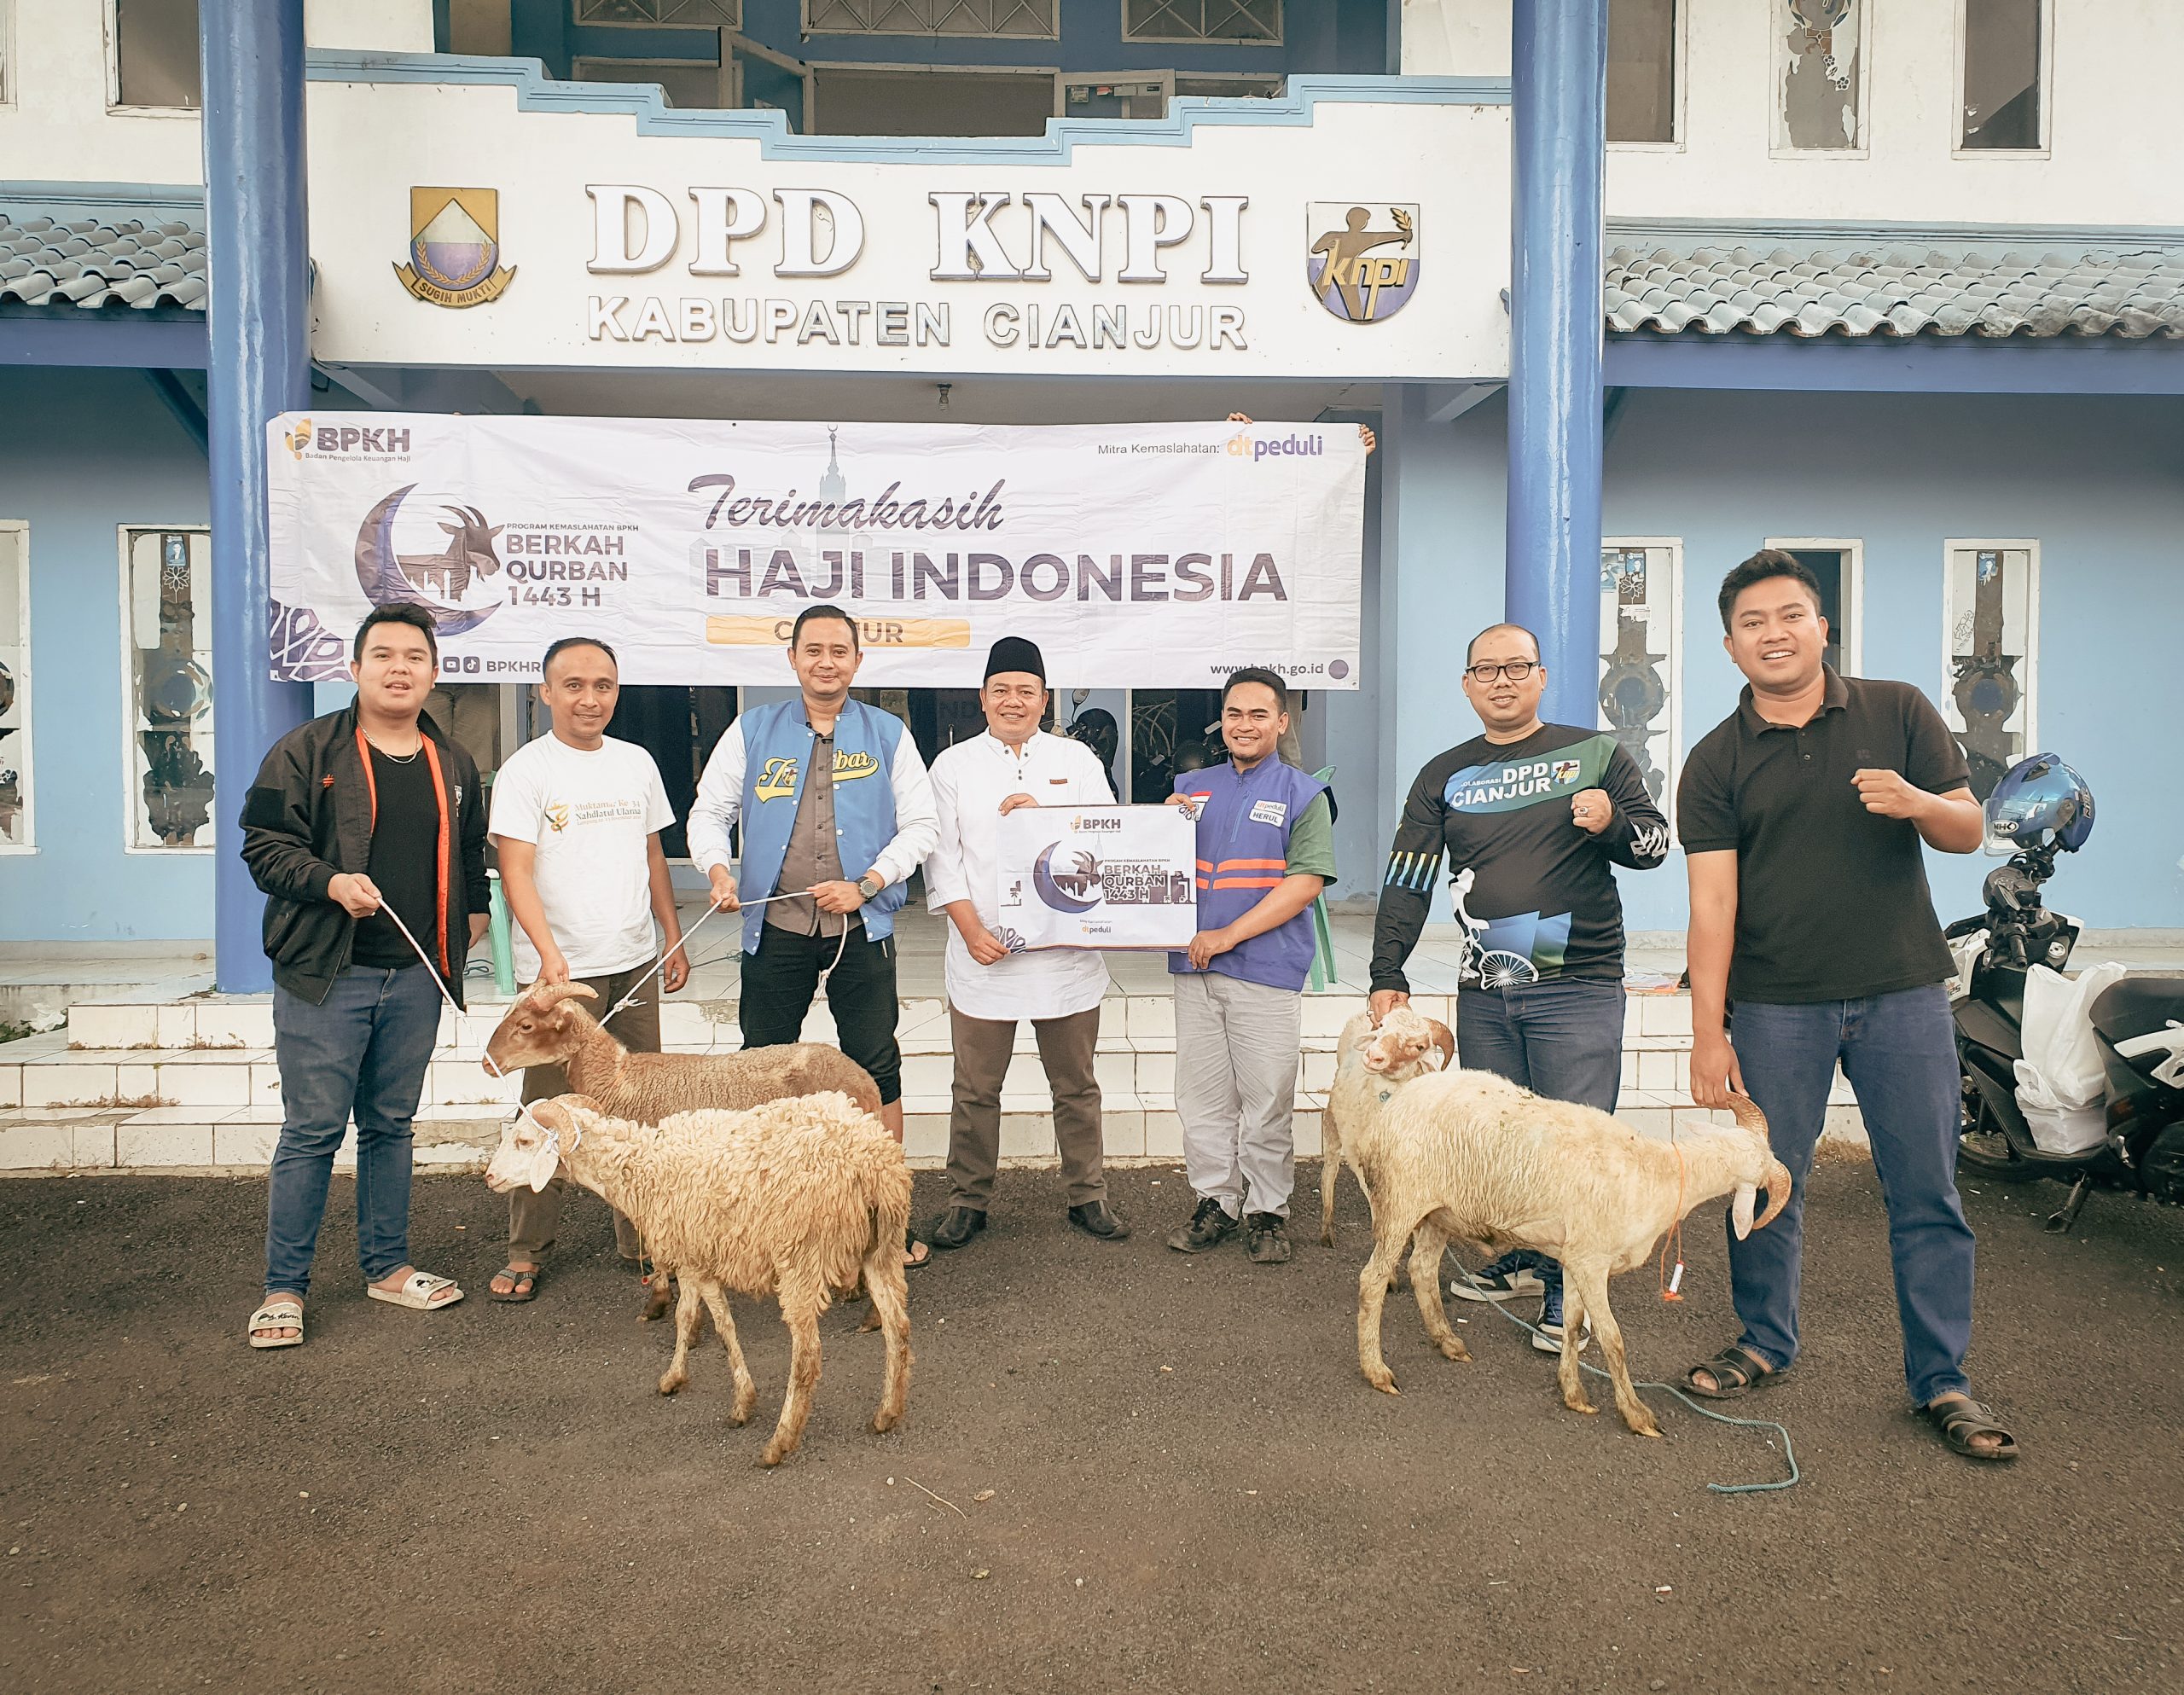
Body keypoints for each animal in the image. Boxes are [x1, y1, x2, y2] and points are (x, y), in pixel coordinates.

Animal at [489, 1088, 913, 1467]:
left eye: (525, 1141)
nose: (490, 1176)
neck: (642, 1167)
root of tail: (868, 1164)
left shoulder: (699, 1260)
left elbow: (724, 1328)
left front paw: (742, 1402)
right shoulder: (689, 1255)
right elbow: (685, 1317)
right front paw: (674, 1377)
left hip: (801, 1257)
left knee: (807, 1356)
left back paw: (779, 1443)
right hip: (883, 1248)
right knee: (898, 1327)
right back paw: (887, 1413)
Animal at [1345, 1013, 1791, 1432]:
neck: (1661, 1173)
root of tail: (1398, 1103)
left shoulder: (1576, 1258)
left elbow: (1575, 1326)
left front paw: (1574, 1394)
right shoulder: (1593, 1262)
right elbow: (1613, 1339)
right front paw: (1636, 1414)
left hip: (1440, 1211)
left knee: (1422, 1269)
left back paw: (1448, 1342)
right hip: (1402, 1201)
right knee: (1373, 1279)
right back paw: (1377, 1371)